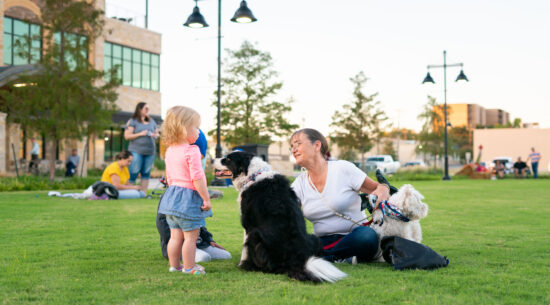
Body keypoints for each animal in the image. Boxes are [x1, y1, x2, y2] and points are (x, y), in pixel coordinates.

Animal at [215, 150, 348, 282]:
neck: (253, 174)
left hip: (256, 235)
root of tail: (297, 261)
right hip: (315, 238)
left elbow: (244, 249)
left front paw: (242, 264)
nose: (213, 160)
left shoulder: (248, 224)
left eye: (228, 159)